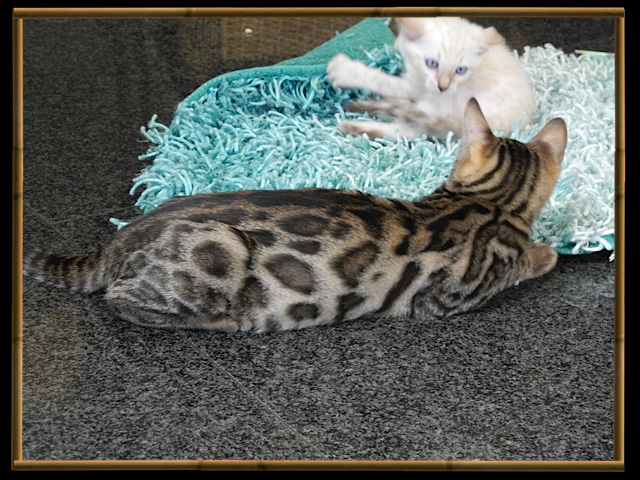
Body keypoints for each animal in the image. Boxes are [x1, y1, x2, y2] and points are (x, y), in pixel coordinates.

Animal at [23, 99, 566, 333]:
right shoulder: (447, 299)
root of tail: (120, 240)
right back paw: (224, 322)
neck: (488, 199)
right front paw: (545, 253)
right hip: (219, 251)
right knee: (120, 300)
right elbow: (525, 260)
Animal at [327, 17, 537, 140]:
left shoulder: (417, 87)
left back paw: (356, 126)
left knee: (413, 129)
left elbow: (382, 80)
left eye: (460, 70)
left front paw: (345, 70)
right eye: (431, 63)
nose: (443, 87)